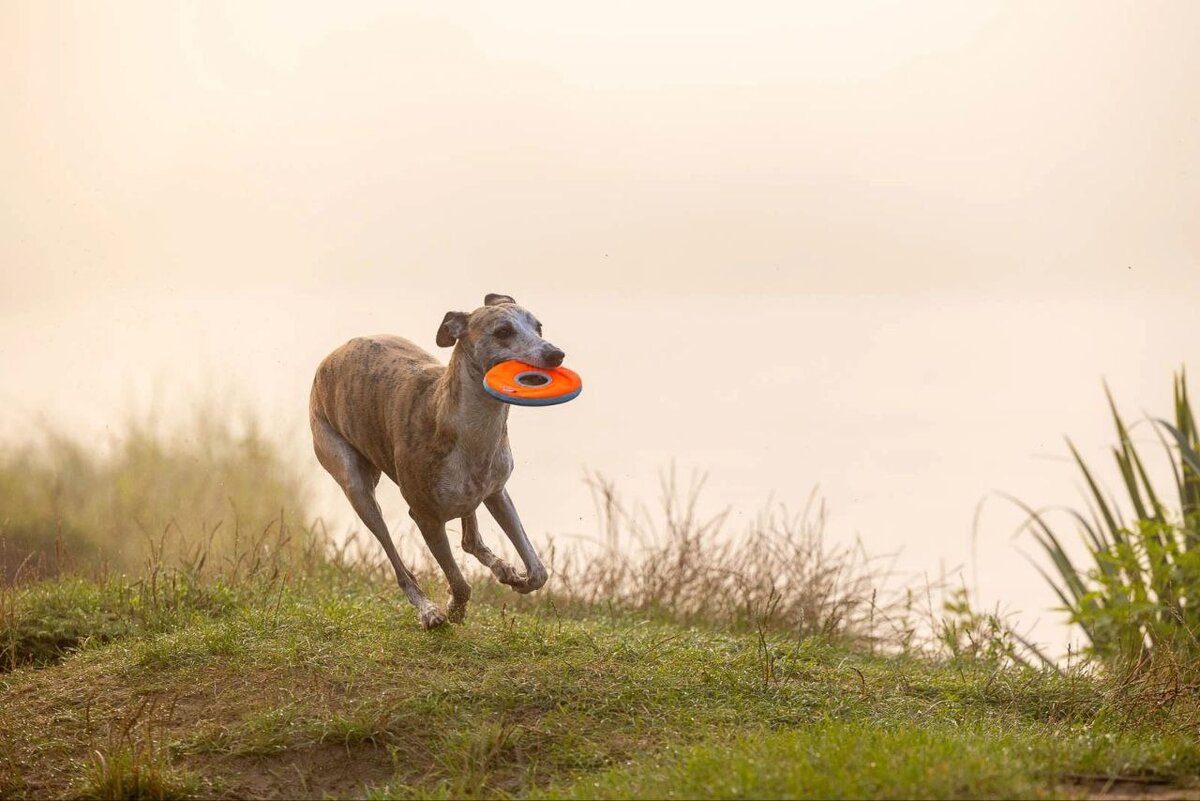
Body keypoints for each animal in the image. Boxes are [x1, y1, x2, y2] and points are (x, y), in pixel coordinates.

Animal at [314, 291, 566, 628]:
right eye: (503, 331)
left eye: (538, 327)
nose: (556, 354)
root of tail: (335, 353)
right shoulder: (425, 518)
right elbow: (460, 583)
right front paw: (453, 610)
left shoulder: (498, 493)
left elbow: (539, 571)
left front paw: (519, 580)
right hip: (356, 487)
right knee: (400, 566)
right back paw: (428, 609)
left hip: (472, 494)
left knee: (470, 539)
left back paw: (502, 569)